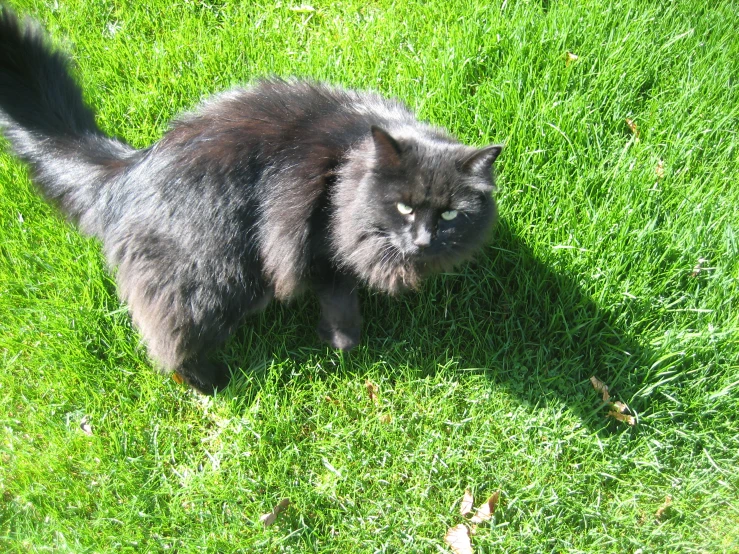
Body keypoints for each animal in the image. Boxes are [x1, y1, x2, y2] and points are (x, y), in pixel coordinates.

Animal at [0, 5, 502, 392]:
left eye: (450, 215)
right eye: (404, 207)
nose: (422, 240)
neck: (348, 170)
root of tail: (131, 168)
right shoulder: (319, 244)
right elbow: (340, 301)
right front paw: (342, 344)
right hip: (211, 276)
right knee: (170, 340)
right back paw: (210, 384)